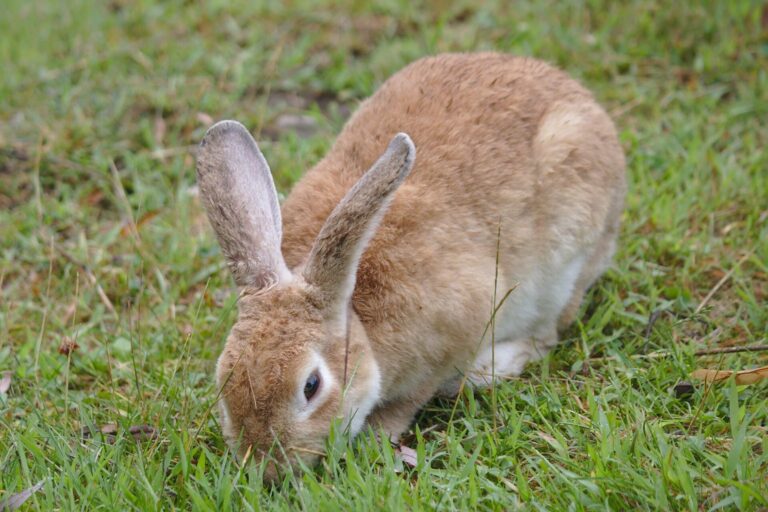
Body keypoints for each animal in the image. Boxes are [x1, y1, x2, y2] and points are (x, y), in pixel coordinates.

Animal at [196, 52, 626, 479]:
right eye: (225, 377)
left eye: (311, 385)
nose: (268, 468)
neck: (356, 313)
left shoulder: (454, 334)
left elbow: (411, 399)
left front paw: (376, 436)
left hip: (566, 261)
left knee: (549, 331)